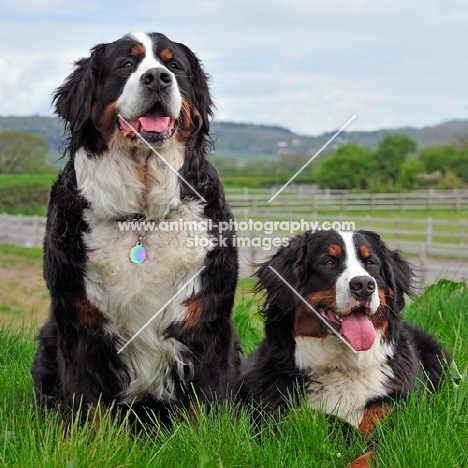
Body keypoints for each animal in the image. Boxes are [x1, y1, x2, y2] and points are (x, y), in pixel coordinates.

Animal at [31, 30, 239, 424]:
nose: (157, 77)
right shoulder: (81, 321)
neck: (141, 215)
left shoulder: (205, 316)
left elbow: (205, 406)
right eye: (126, 64)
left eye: (174, 66)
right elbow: (89, 407)